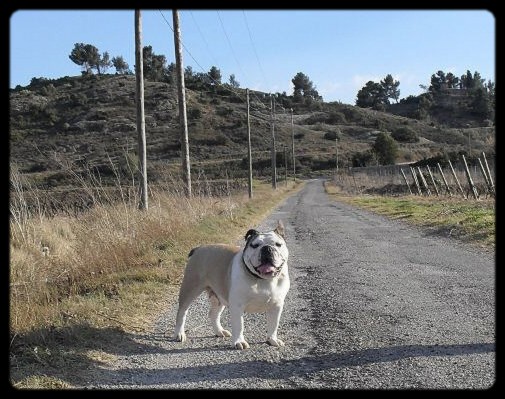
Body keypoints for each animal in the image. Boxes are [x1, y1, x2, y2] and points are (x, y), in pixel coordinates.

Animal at [173, 222, 290, 350]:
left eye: (278, 244)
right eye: (255, 245)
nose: (267, 248)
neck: (262, 279)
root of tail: (198, 248)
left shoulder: (277, 306)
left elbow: (274, 324)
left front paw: (272, 339)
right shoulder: (237, 306)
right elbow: (239, 325)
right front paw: (239, 341)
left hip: (218, 296)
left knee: (213, 314)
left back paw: (219, 331)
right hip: (190, 289)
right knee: (182, 312)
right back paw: (179, 333)